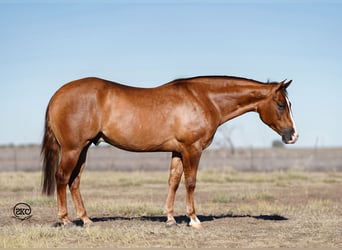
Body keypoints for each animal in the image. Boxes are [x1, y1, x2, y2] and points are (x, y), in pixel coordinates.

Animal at [40, 75, 298, 229]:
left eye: (288, 104)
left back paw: (86, 219)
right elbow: (191, 182)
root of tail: (58, 94)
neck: (204, 99)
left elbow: (173, 181)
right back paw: (66, 221)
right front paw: (193, 219)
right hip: (73, 149)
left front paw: (171, 218)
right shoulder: (192, 149)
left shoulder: (177, 151)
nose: (293, 136)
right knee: (62, 178)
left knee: (74, 181)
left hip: (83, 149)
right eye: (280, 104)